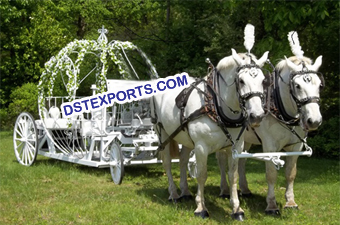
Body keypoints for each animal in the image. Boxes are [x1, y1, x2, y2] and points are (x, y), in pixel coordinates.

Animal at [151, 48, 268, 220]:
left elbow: (233, 176)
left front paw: (237, 209)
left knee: (183, 160)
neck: (215, 105)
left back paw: (185, 192)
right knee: (167, 162)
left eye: (263, 81)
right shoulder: (201, 147)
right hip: (163, 133)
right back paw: (174, 194)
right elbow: (202, 175)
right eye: (241, 81)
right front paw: (201, 207)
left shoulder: (236, 147)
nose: (257, 116)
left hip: (185, 136)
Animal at [216, 54, 322, 214]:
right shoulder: (270, 146)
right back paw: (224, 190)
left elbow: (291, 173)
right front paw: (271, 205)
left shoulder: (296, 146)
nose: (314, 120)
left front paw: (290, 202)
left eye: (320, 85)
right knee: (222, 161)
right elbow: (271, 174)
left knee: (242, 161)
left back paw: (245, 190)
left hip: (246, 140)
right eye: (297, 86)